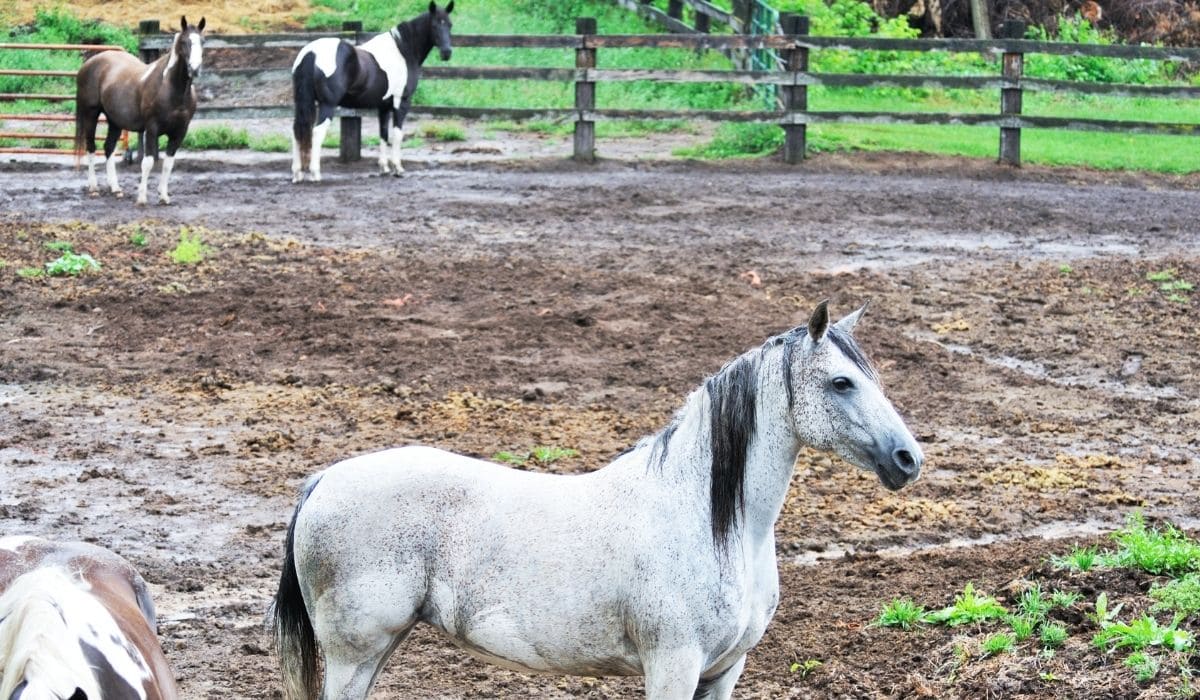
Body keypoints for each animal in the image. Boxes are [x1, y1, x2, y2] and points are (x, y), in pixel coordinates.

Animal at [74, 16, 205, 206]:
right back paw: (94, 188)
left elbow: (168, 164)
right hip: (90, 114)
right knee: (91, 147)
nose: (194, 69)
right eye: (184, 41)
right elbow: (148, 162)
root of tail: (89, 63)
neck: (171, 89)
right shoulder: (152, 129)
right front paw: (142, 198)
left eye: (203, 41)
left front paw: (163, 196)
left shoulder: (180, 132)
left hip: (114, 121)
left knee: (108, 147)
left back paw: (116, 188)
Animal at [272, 301, 924, 700]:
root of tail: (322, 480)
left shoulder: (722, 672)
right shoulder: (673, 666)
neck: (712, 522)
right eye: (841, 382)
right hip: (355, 652)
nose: (907, 460)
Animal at [290, 1, 454, 183]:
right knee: (317, 132)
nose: (447, 53)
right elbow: (397, 134)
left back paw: (297, 174)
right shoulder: (401, 101)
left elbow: (383, 134)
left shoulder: (383, 107)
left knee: (297, 130)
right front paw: (398, 168)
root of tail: (311, 53)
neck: (403, 50)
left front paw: (384, 168)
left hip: (302, 103)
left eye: (450, 25)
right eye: (434, 25)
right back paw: (315, 174)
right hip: (327, 105)